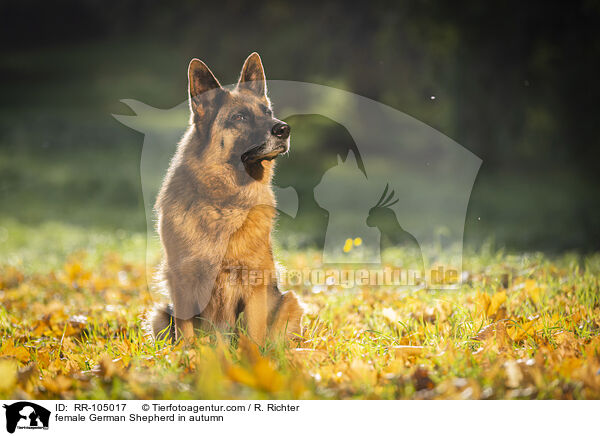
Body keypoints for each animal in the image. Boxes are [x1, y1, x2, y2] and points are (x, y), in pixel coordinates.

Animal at [148, 52, 302, 344]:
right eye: (240, 117)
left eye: (267, 113)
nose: (284, 129)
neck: (225, 202)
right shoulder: (182, 281)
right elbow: (187, 336)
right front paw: (189, 356)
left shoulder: (255, 285)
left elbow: (253, 337)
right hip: (160, 313)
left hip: (290, 301)